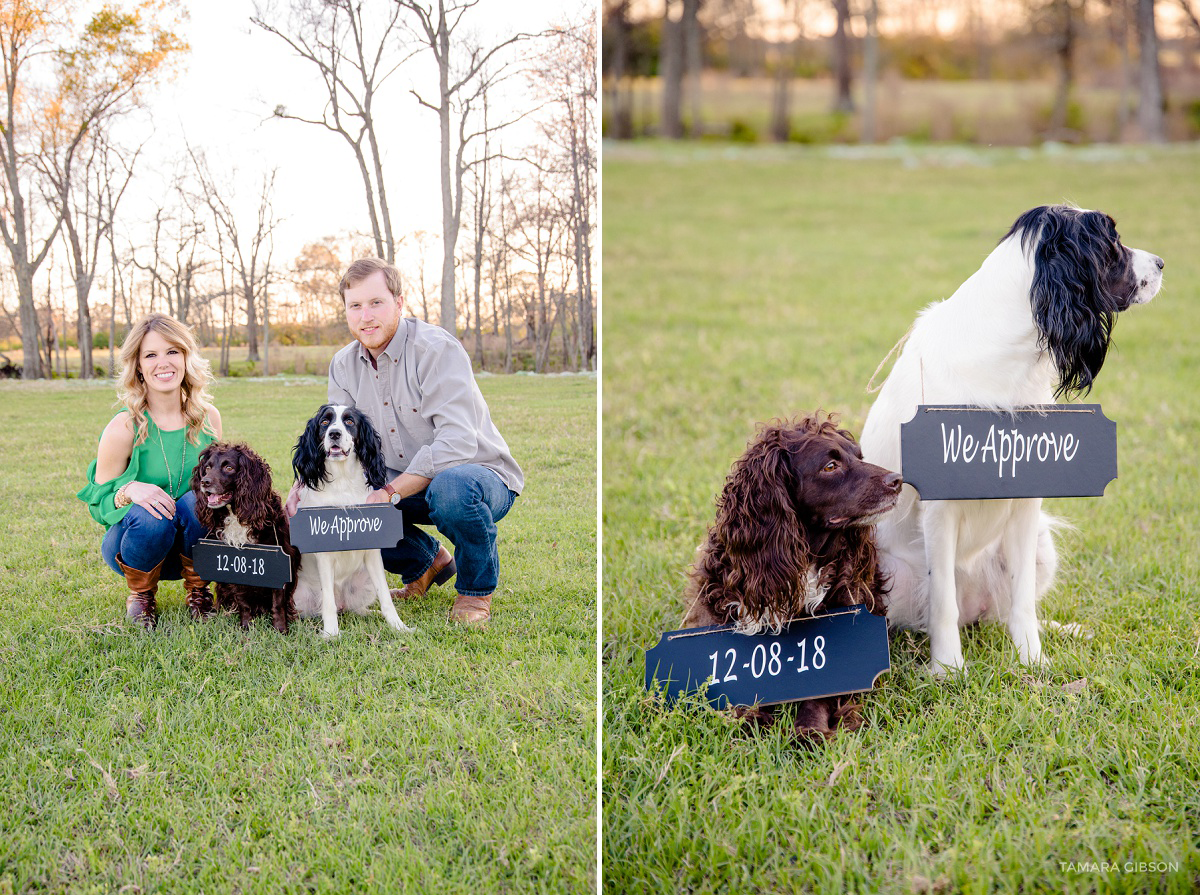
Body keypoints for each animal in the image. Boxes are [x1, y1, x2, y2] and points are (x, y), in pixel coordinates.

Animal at [190, 443, 298, 633]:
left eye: (229, 468)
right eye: (207, 468)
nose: (205, 482)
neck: (238, 515)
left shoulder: (280, 565)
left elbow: (278, 603)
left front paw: (280, 630)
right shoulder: (237, 566)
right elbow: (243, 601)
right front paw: (247, 626)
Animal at [292, 400, 415, 638]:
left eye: (349, 421)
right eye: (324, 422)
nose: (335, 433)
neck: (342, 482)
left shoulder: (373, 551)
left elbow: (385, 596)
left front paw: (399, 626)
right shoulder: (324, 554)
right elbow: (327, 602)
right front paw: (331, 634)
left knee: (356, 608)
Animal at [686, 410, 902, 739]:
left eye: (859, 457)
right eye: (830, 466)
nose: (898, 480)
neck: (804, 558)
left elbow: (822, 694)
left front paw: (809, 728)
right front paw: (750, 718)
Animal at [864, 205, 1161, 671]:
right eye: (1112, 243)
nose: (1163, 264)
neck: (1007, 352)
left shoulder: (1026, 504)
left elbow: (1022, 603)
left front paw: (1032, 661)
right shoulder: (939, 509)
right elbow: (942, 601)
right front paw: (948, 669)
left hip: (1042, 545)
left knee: (1004, 611)